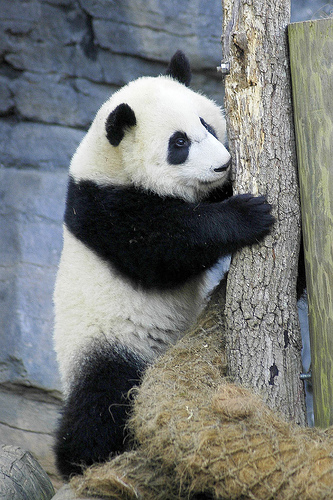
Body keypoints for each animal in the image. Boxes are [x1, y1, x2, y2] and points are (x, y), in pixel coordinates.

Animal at [53, 49, 272, 476]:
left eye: (206, 124)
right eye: (179, 143)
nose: (223, 164)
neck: (110, 166)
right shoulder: (107, 211)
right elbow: (166, 248)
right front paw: (249, 214)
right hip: (107, 343)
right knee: (102, 401)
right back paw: (81, 456)